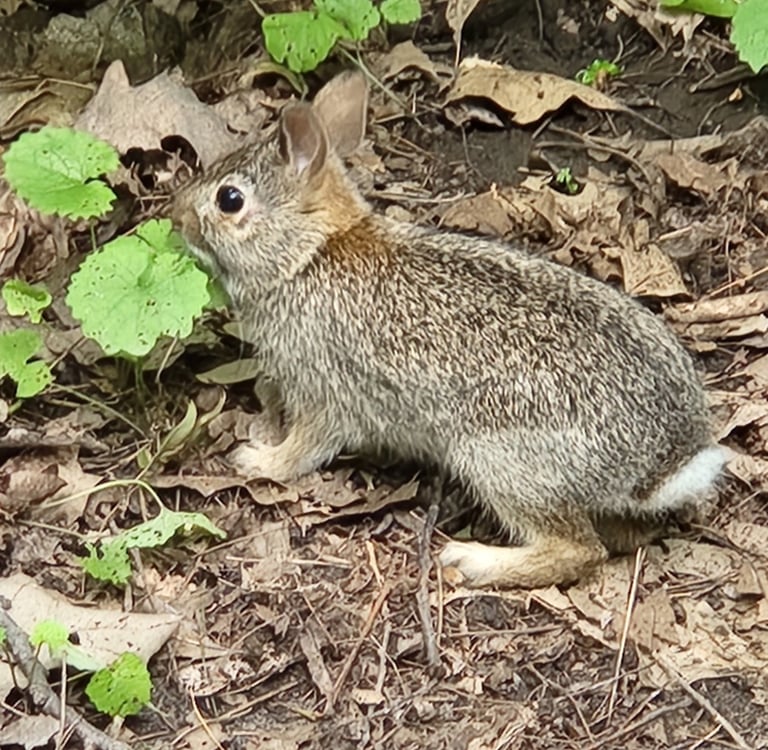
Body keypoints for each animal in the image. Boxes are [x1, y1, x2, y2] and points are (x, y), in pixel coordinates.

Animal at [172, 71, 726, 588]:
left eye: (229, 199)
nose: (178, 217)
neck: (309, 254)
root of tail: (661, 464)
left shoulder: (323, 388)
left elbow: (305, 447)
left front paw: (258, 461)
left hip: (498, 459)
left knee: (576, 551)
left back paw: (473, 559)